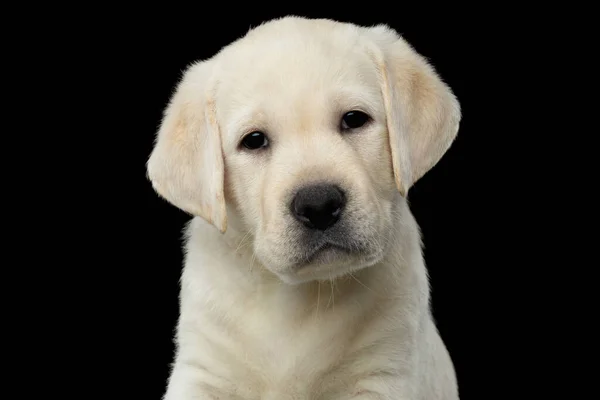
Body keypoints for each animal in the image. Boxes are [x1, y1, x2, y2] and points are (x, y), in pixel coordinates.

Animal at [148, 15, 462, 400]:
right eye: (254, 140)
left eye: (354, 119)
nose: (319, 204)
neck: (298, 295)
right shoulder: (203, 370)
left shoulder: (386, 369)